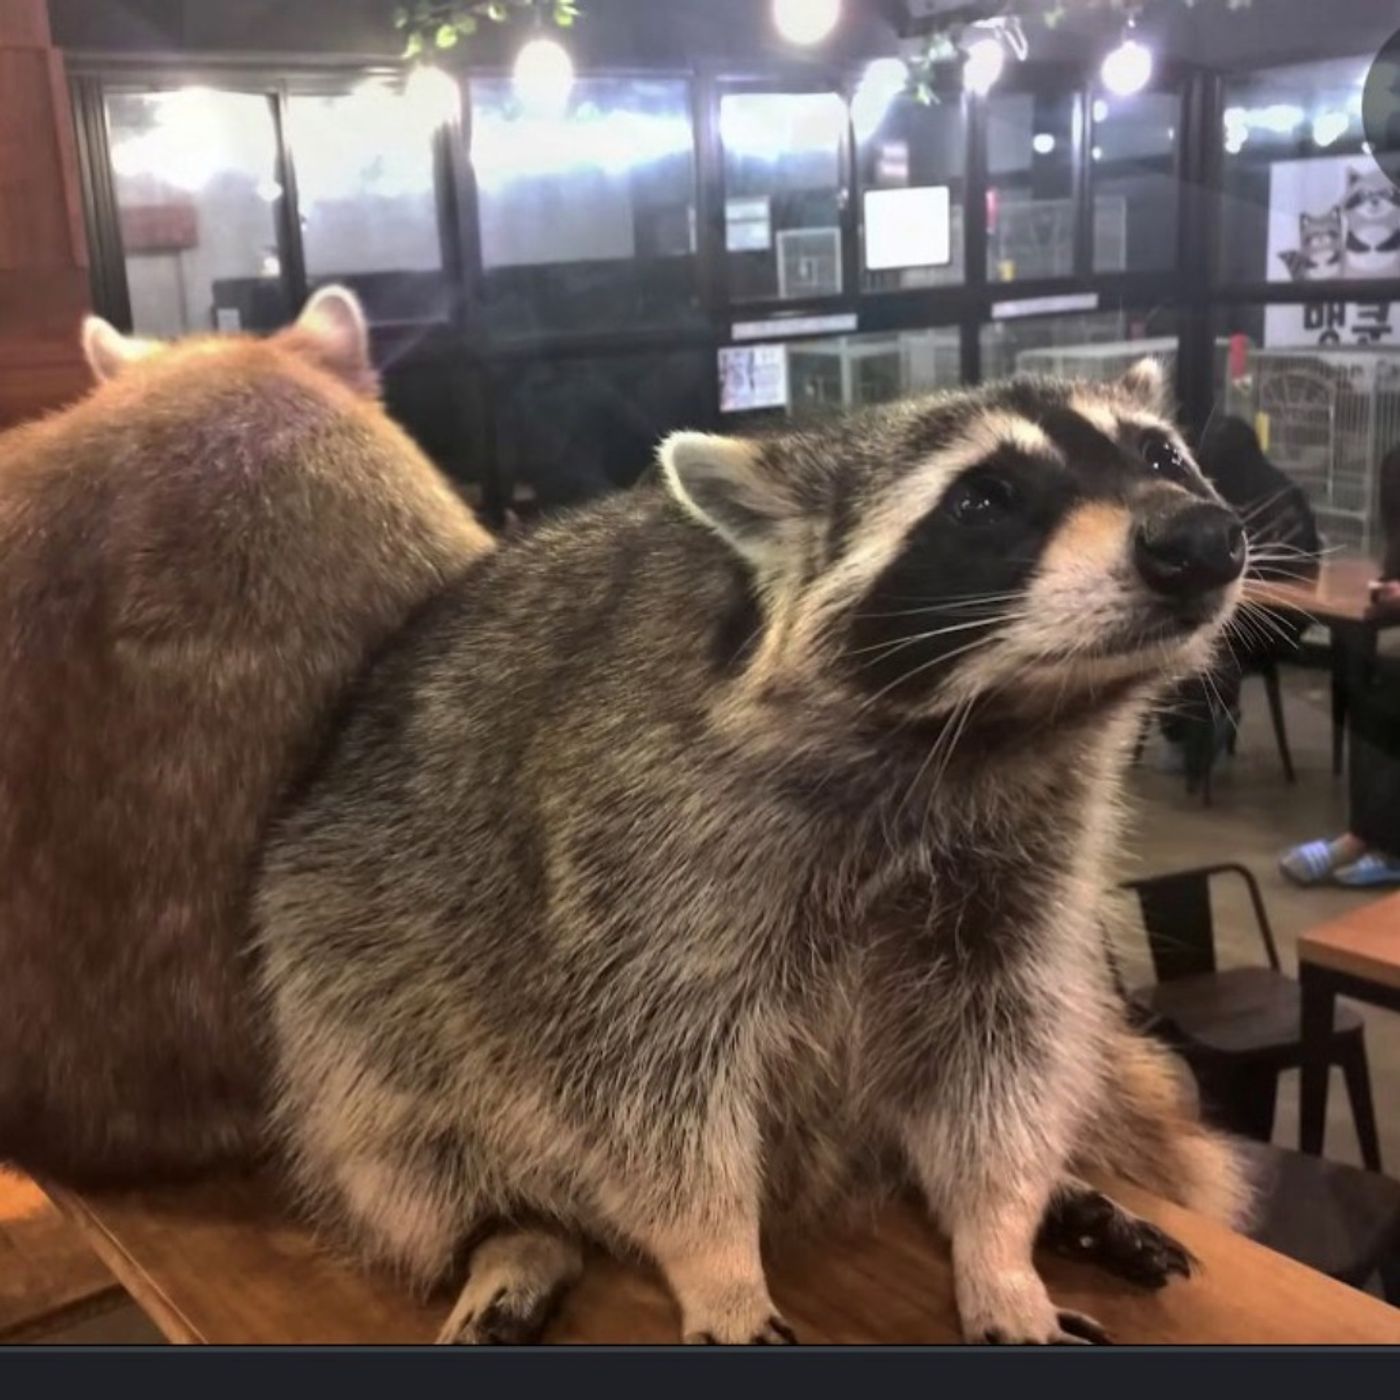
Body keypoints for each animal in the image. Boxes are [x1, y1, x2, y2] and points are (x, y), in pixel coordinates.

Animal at [255, 361, 1249, 1345]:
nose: (1200, 539)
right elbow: (644, 1089)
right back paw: (513, 1236)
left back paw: (1055, 1195)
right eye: (984, 498)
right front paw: (718, 1264)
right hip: (345, 989)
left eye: (1161, 455)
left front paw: (999, 1245)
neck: (997, 727)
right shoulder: (637, 853)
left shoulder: (1021, 872)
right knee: (398, 1141)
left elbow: (1004, 1058)